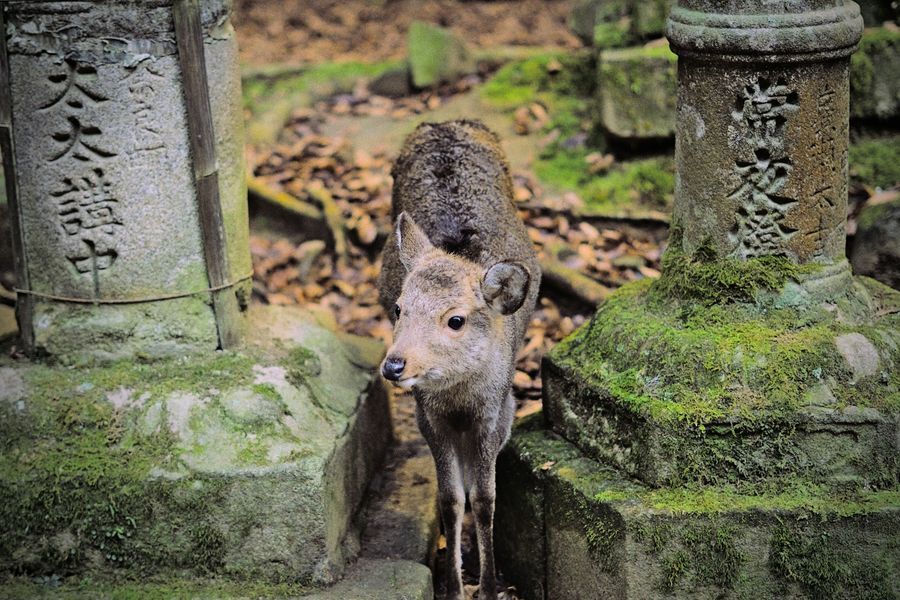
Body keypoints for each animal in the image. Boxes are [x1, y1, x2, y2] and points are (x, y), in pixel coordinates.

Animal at [376, 119, 536, 596]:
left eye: (456, 320)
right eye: (399, 308)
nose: (394, 365)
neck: (461, 399)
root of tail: (445, 123)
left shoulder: (497, 411)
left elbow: (484, 498)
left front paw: (489, 585)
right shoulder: (428, 415)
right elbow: (450, 497)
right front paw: (452, 585)